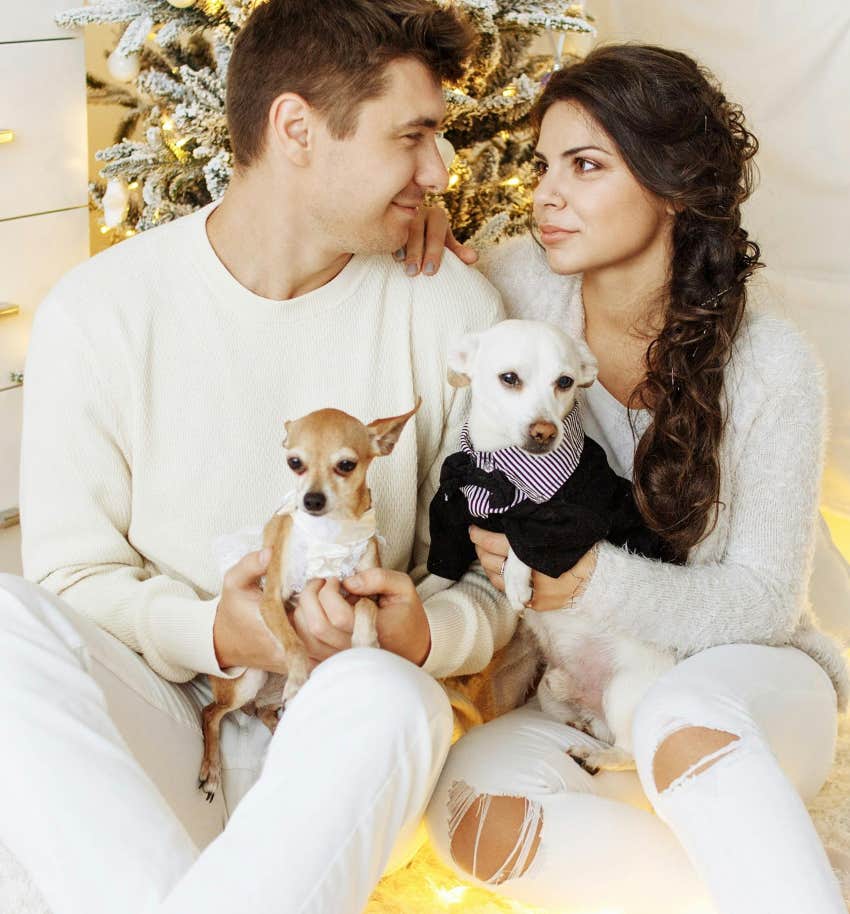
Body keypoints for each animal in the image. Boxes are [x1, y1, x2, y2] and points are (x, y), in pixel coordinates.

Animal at [430, 320, 676, 768]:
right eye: (509, 378)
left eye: (565, 382)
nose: (544, 430)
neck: (498, 471)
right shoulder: (451, 515)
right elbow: (437, 572)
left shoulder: (572, 520)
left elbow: (524, 539)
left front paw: (515, 579)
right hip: (550, 690)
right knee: (583, 716)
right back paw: (583, 727)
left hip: (623, 691)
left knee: (630, 752)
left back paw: (595, 757)